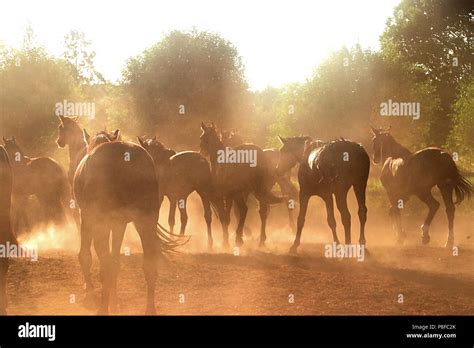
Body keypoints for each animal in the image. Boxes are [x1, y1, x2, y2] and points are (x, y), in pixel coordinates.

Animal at [74, 130, 180, 316]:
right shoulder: (119, 224)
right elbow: (115, 263)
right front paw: (113, 303)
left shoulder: (88, 218)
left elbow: (86, 257)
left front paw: (91, 296)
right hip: (145, 220)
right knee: (149, 265)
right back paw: (149, 309)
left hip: (101, 224)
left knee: (105, 266)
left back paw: (103, 309)